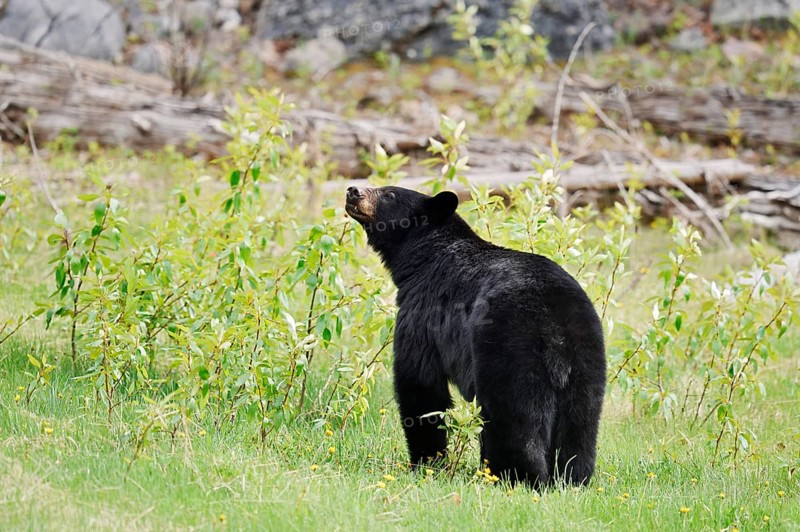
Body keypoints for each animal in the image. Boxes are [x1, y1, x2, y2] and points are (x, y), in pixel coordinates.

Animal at [345, 185, 606, 487]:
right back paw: (573, 479)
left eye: (389, 194)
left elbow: (420, 382)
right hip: (586, 356)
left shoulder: (423, 313)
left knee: (513, 421)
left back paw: (516, 477)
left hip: (509, 350)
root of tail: (555, 332)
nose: (353, 191)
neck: (424, 257)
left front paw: (425, 462)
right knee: (580, 426)